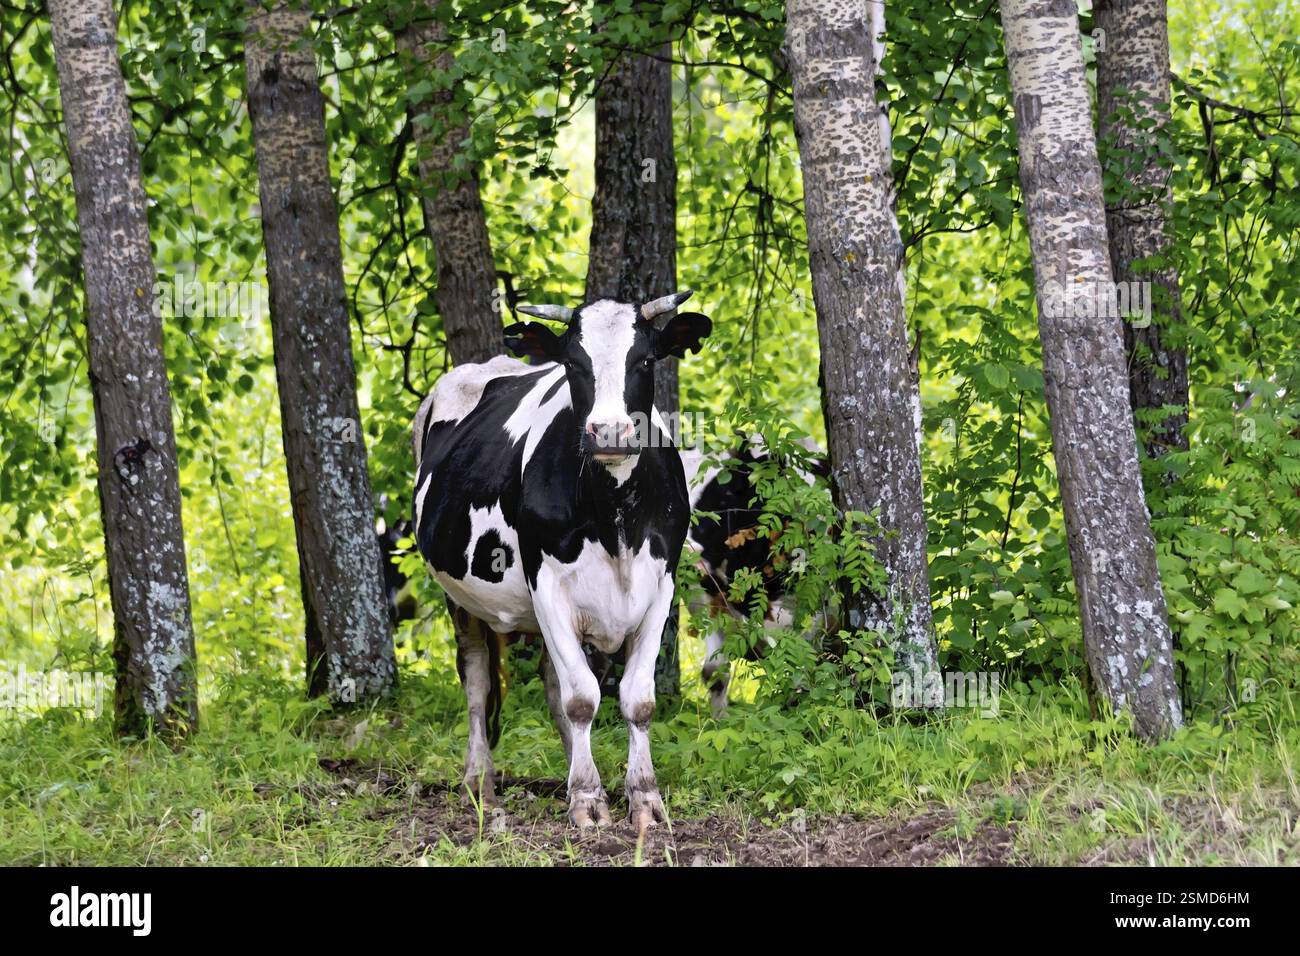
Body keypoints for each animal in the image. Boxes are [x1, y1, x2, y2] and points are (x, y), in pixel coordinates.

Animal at [412, 292, 711, 829]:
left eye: (646, 360)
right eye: (574, 364)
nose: (609, 431)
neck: (615, 519)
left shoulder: (660, 586)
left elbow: (636, 700)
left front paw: (643, 798)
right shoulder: (546, 585)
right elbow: (582, 698)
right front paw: (588, 799)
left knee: (552, 686)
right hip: (460, 597)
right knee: (477, 681)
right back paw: (481, 783)